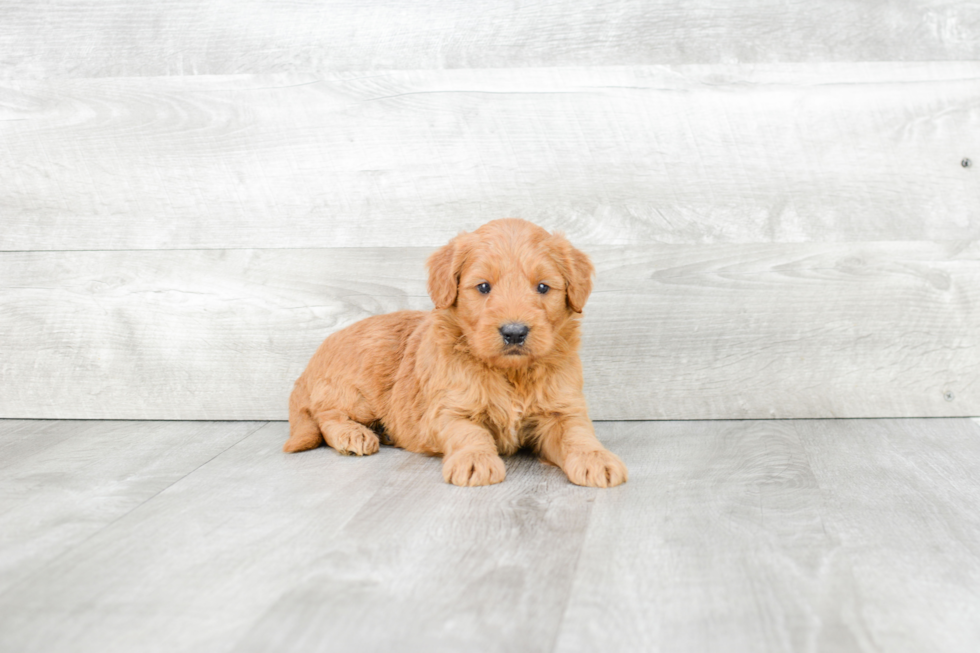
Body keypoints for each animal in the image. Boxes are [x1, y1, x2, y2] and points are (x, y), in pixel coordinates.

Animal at [286, 216, 628, 486]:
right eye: (483, 287)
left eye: (543, 287)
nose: (514, 332)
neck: (511, 373)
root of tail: (309, 366)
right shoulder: (448, 409)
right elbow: (469, 433)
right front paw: (475, 461)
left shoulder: (563, 410)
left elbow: (578, 434)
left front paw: (597, 459)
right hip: (356, 391)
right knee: (325, 414)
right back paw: (353, 435)